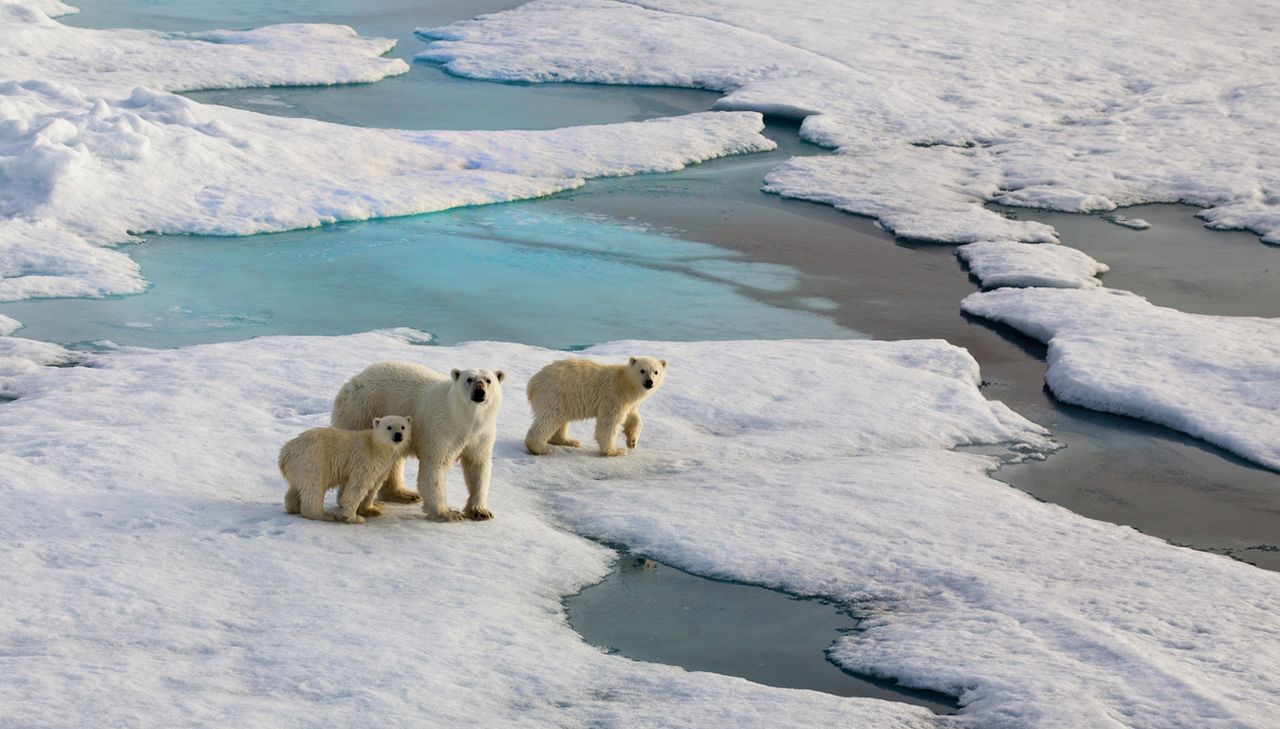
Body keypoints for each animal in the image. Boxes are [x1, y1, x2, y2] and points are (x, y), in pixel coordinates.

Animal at [282, 414, 412, 521]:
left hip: (299, 467)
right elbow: (357, 486)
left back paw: (293, 507)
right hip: (313, 461)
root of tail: (285, 453)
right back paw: (325, 515)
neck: (376, 446)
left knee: (297, 487)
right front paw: (353, 518)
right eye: (389, 427)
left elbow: (374, 485)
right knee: (314, 488)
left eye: (403, 427)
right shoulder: (365, 460)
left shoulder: (383, 467)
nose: (398, 435)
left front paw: (372, 509)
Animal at [330, 360, 504, 519]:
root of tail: (351, 383)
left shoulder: (481, 435)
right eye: (469, 379)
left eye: (488, 380)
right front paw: (447, 513)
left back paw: (404, 494)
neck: (464, 418)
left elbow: (478, 466)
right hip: (362, 413)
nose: (479, 391)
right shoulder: (442, 430)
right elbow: (435, 466)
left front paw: (480, 511)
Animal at [522, 355, 665, 455]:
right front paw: (615, 451)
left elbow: (633, 419)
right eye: (642, 370)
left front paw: (632, 442)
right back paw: (540, 448)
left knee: (561, 420)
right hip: (555, 395)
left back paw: (569, 441)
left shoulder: (629, 403)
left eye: (656, 371)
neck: (626, 383)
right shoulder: (612, 397)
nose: (649, 382)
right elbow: (608, 423)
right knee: (549, 420)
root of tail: (533, 383)